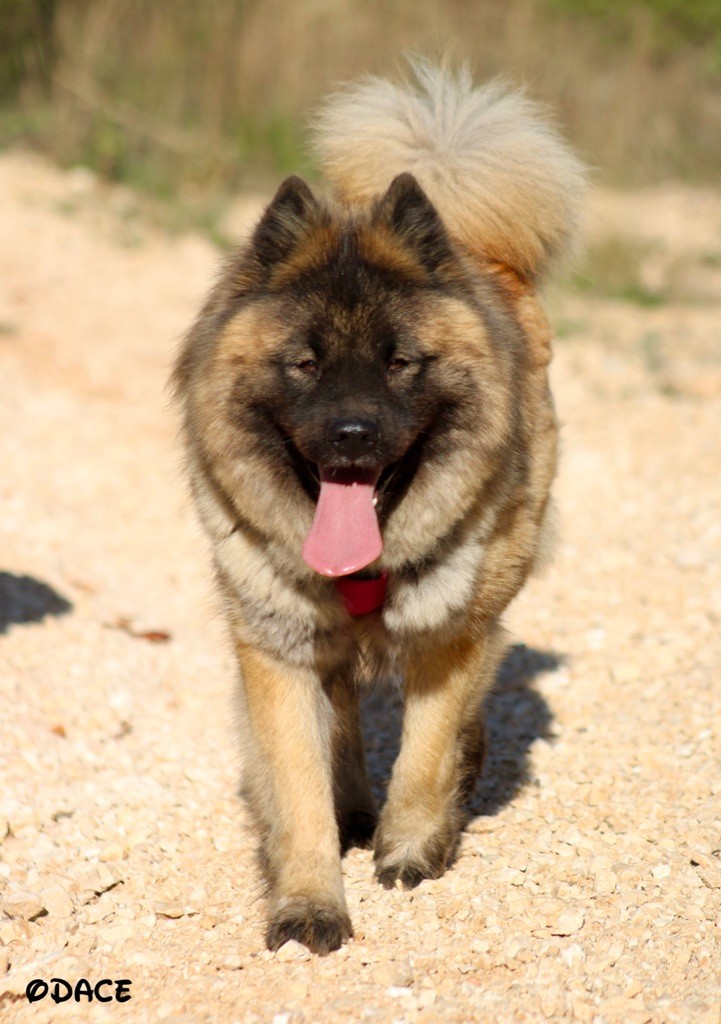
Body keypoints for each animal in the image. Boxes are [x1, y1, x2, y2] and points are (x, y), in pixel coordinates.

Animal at [170, 58, 585, 950]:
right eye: (304, 363)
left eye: (399, 362)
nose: (352, 433)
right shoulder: (279, 650)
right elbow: (297, 787)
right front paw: (308, 904)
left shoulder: (450, 636)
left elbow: (425, 755)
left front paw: (410, 848)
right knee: (345, 722)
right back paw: (354, 807)